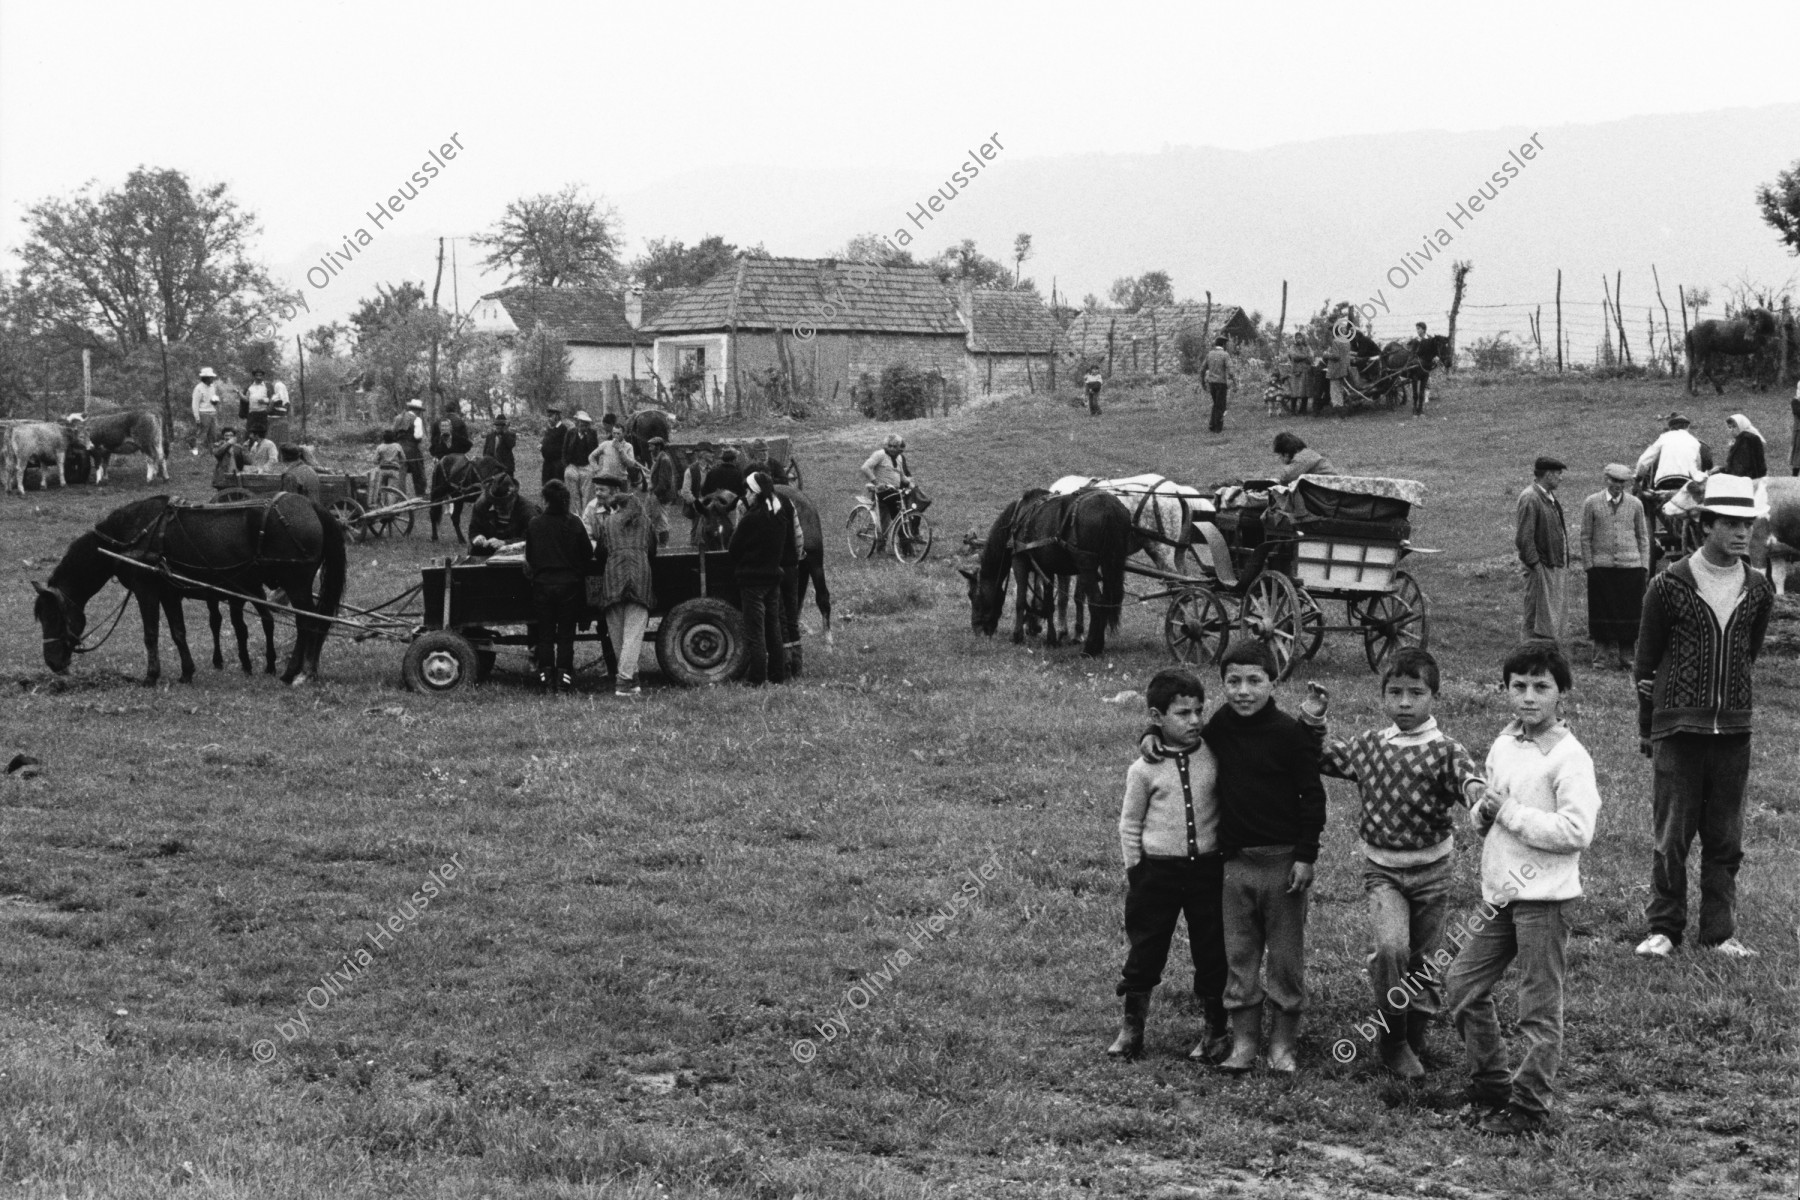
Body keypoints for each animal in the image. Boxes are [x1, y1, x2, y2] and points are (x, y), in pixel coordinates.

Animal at [30, 492, 347, 683]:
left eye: (54, 616)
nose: (52, 663)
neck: (129, 535)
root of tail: (310, 505)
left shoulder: (146, 590)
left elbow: (151, 634)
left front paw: (151, 676)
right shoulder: (169, 592)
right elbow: (178, 632)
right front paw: (186, 672)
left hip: (297, 583)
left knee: (308, 622)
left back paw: (293, 672)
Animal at [964, 485, 1130, 658]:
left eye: (973, 595)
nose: (977, 629)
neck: (1018, 518)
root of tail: (1108, 507)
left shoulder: (1019, 563)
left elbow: (1020, 601)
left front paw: (1017, 636)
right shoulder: (1046, 568)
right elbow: (1049, 604)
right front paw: (1051, 639)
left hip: (1087, 567)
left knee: (1097, 602)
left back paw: (1090, 648)